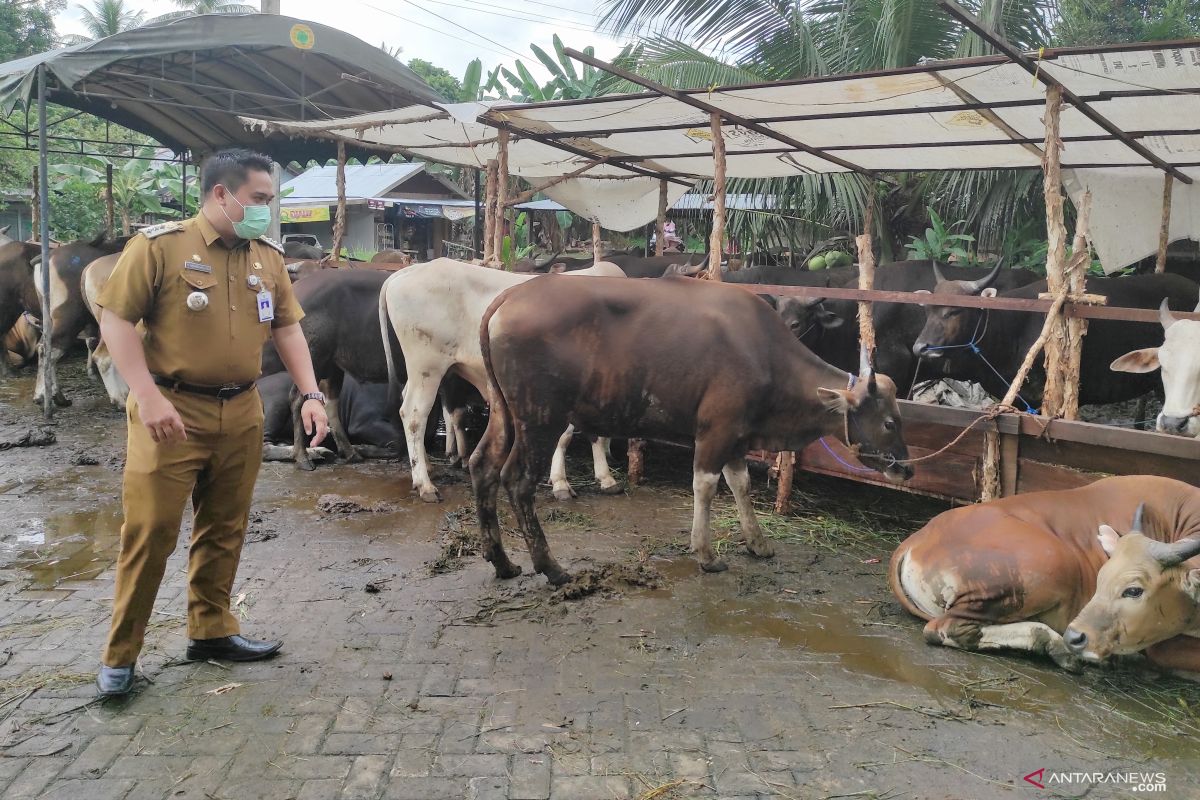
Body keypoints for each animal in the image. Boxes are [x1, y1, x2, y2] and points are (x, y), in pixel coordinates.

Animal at [379, 260, 628, 503]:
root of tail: (411, 270)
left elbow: (597, 434)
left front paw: (605, 478)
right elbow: (565, 436)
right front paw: (561, 483)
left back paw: (428, 467)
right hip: (427, 367)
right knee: (413, 415)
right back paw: (425, 485)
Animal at [892, 479, 1200, 671]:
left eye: (1132, 590)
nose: (1078, 635)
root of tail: (916, 539)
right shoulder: (1163, 649)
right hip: (1054, 562)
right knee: (945, 628)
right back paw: (1058, 647)